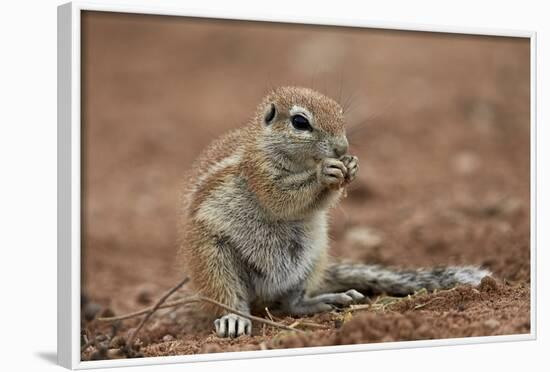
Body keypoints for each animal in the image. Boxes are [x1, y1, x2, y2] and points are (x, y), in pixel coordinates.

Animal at [180, 86, 492, 338]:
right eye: (300, 122)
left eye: (340, 113)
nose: (342, 147)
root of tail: (263, 296)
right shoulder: (260, 172)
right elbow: (280, 197)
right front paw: (324, 173)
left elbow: (317, 204)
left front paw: (351, 167)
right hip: (213, 260)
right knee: (228, 297)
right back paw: (233, 319)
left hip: (312, 256)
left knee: (292, 303)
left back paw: (325, 300)